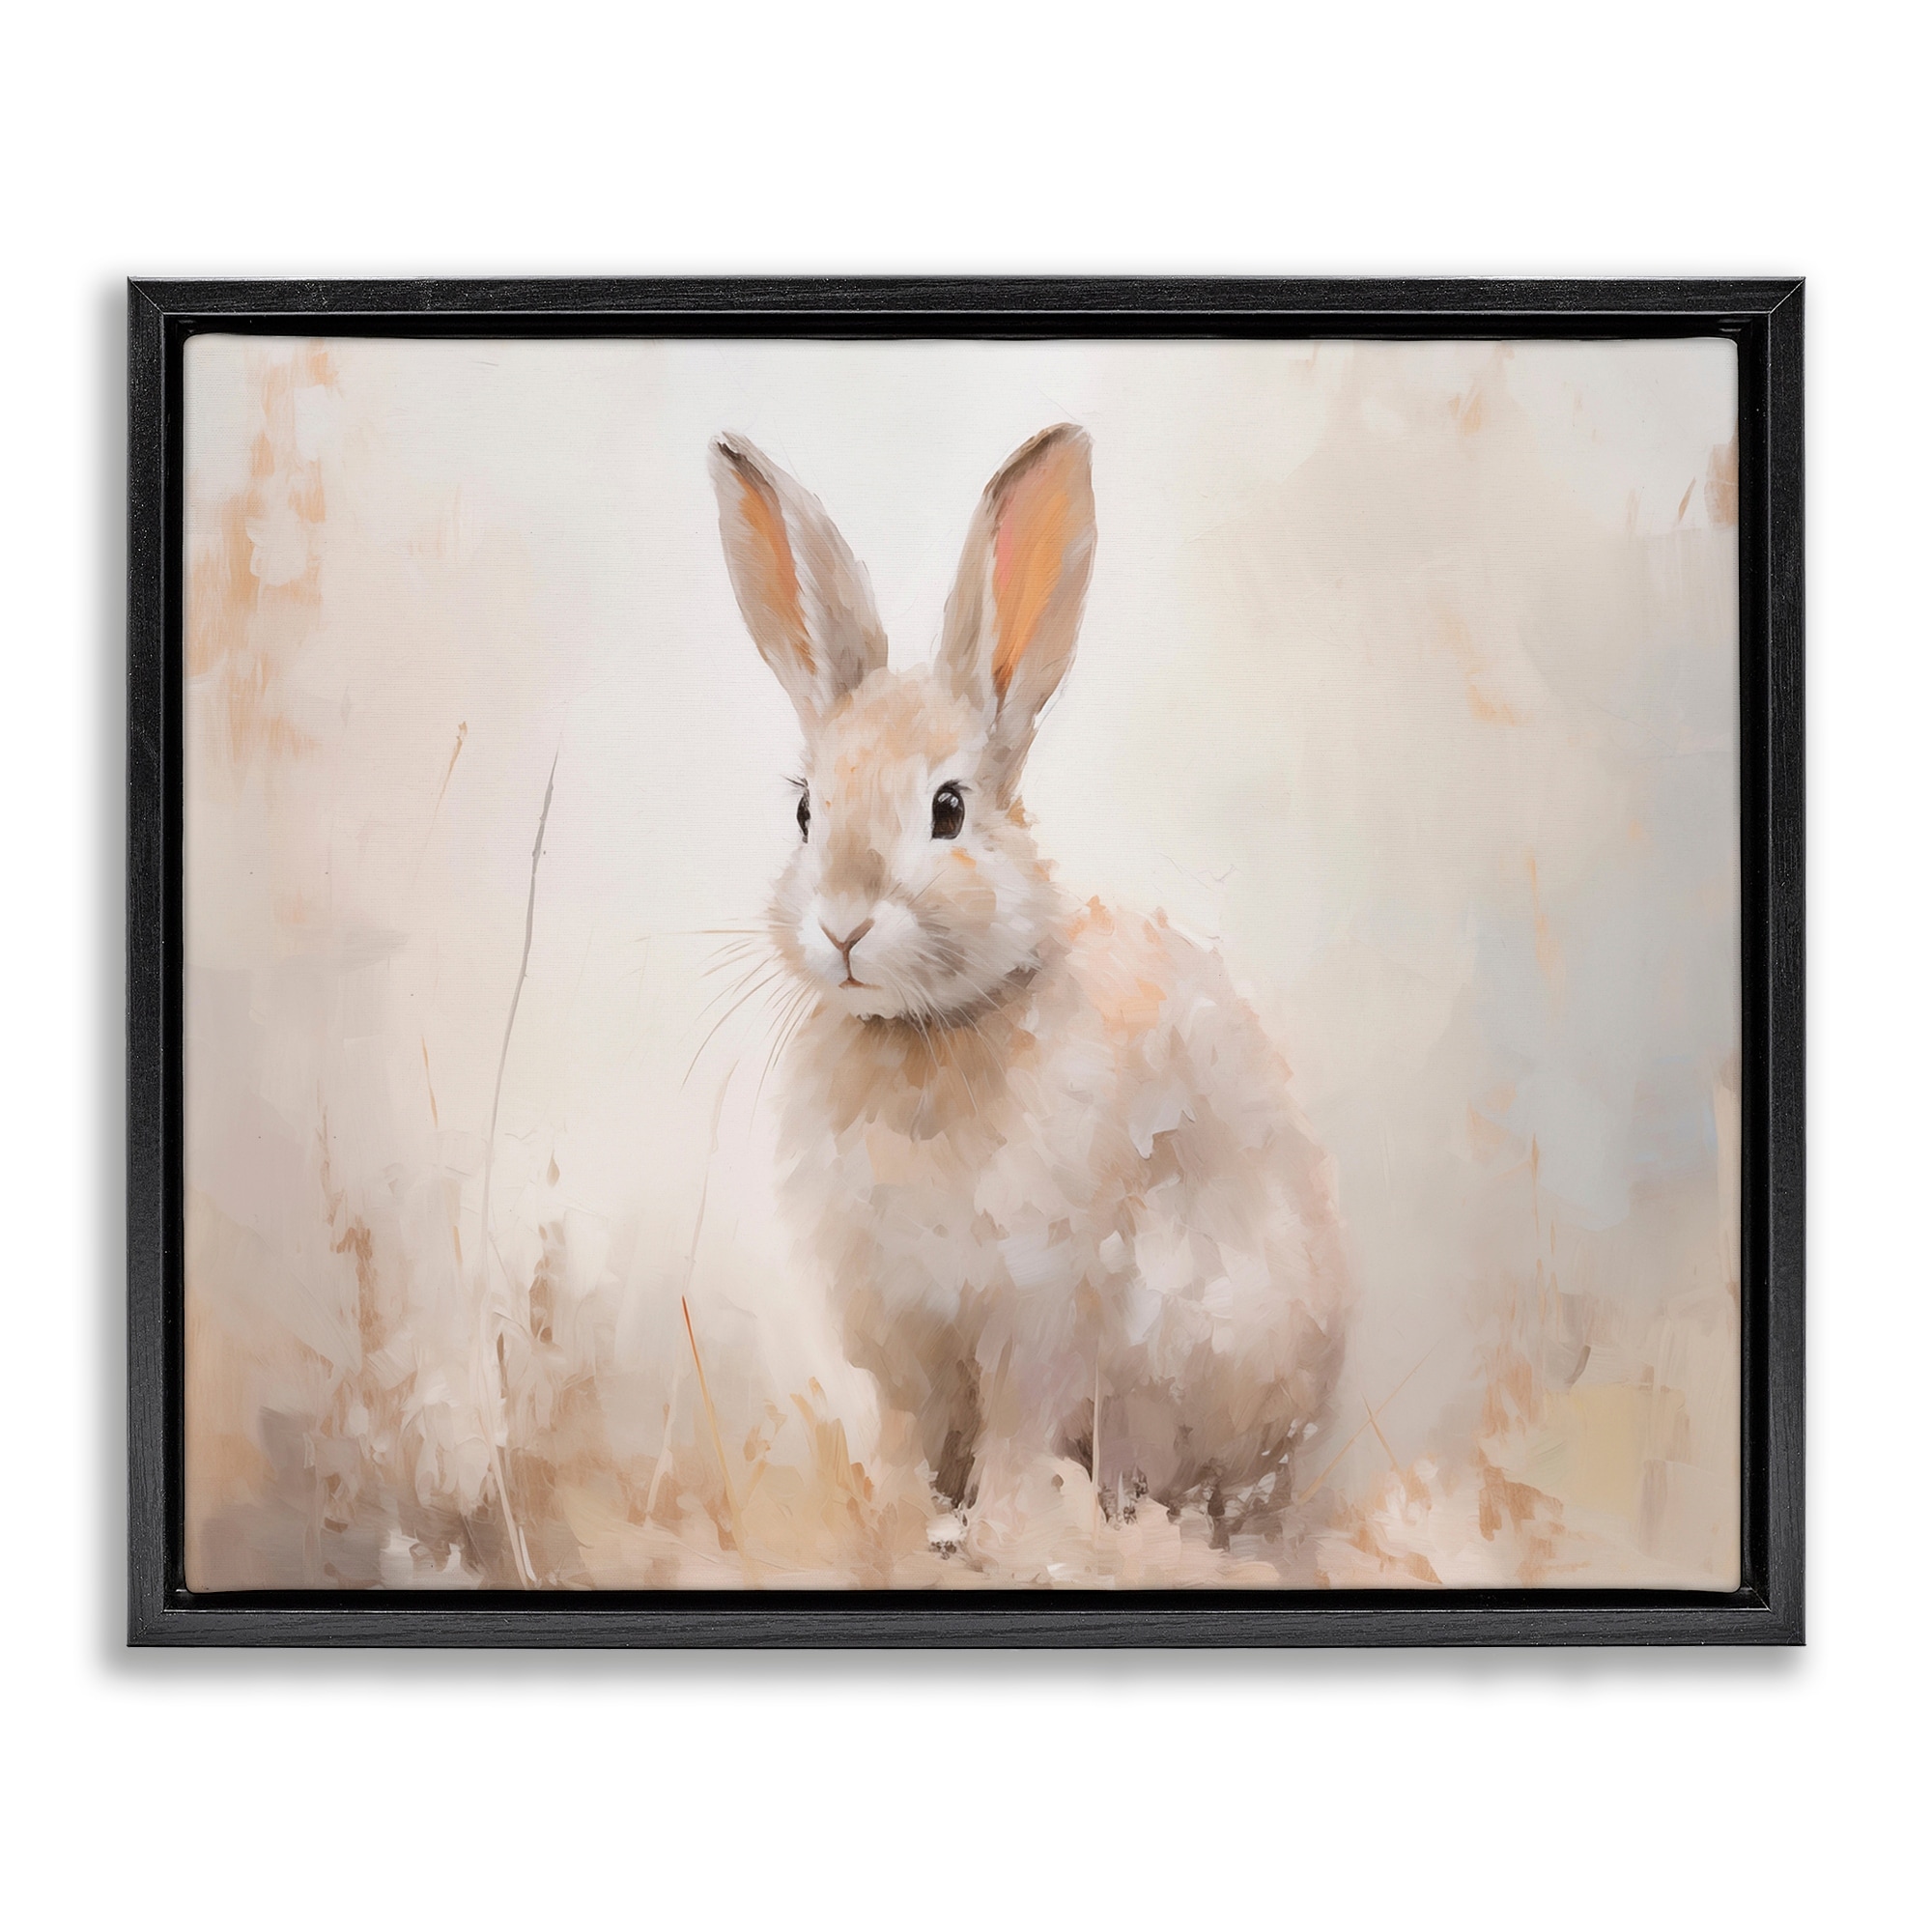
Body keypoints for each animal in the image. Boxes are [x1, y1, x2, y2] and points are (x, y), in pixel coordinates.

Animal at [708, 423, 1349, 1548]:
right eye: (803, 811)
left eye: (949, 809)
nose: (841, 924)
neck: (926, 1031)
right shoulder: (900, 1335)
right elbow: (908, 1438)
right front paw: (896, 1521)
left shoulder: (1041, 1312)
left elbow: (1017, 1428)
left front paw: (1008, 1531)